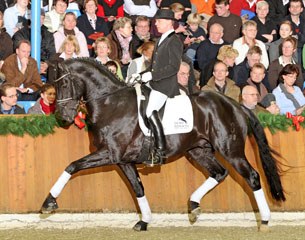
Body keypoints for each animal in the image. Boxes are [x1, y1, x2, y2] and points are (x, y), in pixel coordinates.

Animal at [41, 57, 284, 231]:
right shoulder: (123, 160)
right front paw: (144, 221)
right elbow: (138, 188)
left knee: (252, 176)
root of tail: (236, 105)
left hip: (230, 150)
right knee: (219, 173)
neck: (111, 103)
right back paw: (193, 205)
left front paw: (48, 203)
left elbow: (72, 166)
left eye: (64, 83)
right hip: (198, 151)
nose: (62, 117)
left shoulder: (109, 154)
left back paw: (264, 220)